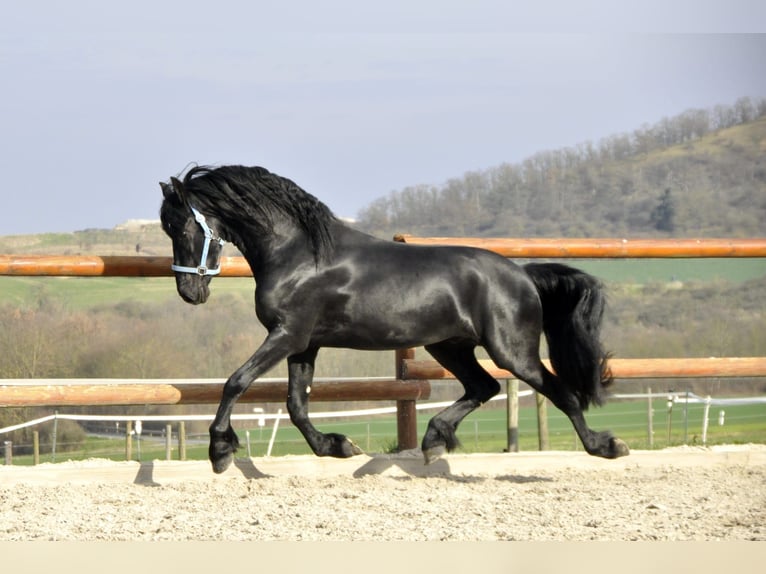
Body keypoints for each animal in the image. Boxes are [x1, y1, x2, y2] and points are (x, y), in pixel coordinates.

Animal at [160, 164, 632, 474]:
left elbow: (237, 381)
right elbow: (296, 403)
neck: (300, 255)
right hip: (448, 346)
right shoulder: (304, 343)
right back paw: (433, 441)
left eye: (181, 228)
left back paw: (607, 446)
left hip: (512, 350)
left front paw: (220, 451)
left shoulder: (287, 336)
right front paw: (336, 446)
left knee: (559, 391)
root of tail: (522, 274)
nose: (190, 293)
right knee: (484, 387)